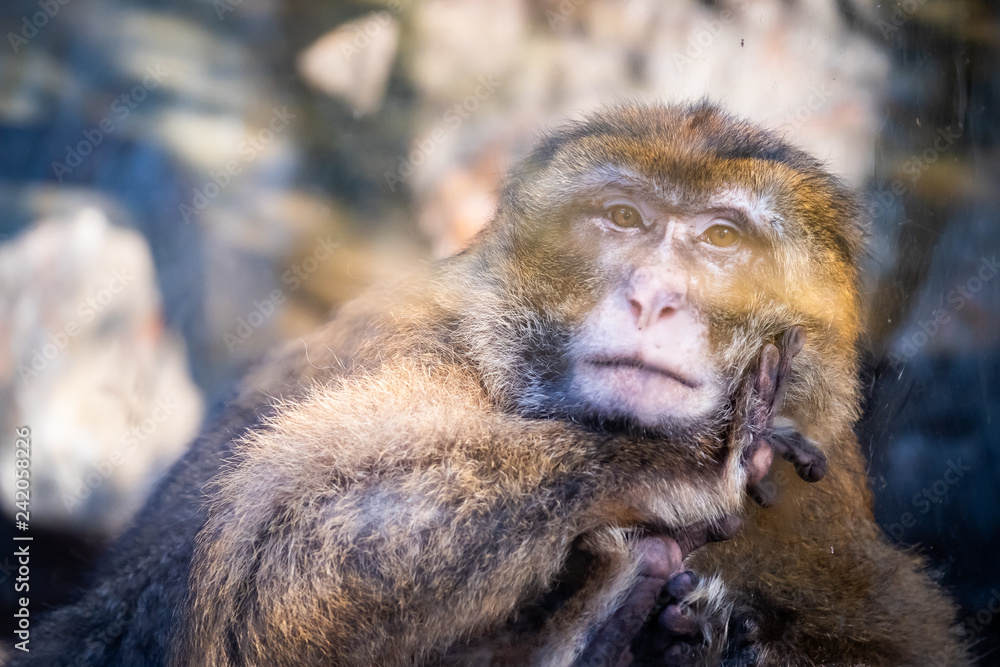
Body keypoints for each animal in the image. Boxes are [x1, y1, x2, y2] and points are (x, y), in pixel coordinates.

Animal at [15, 102, 969, 667]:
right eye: (622, 218)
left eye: (722, 238)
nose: (653, 294)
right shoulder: (408, 339)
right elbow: (276, 547)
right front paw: (679, 465)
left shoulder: (821, 481)